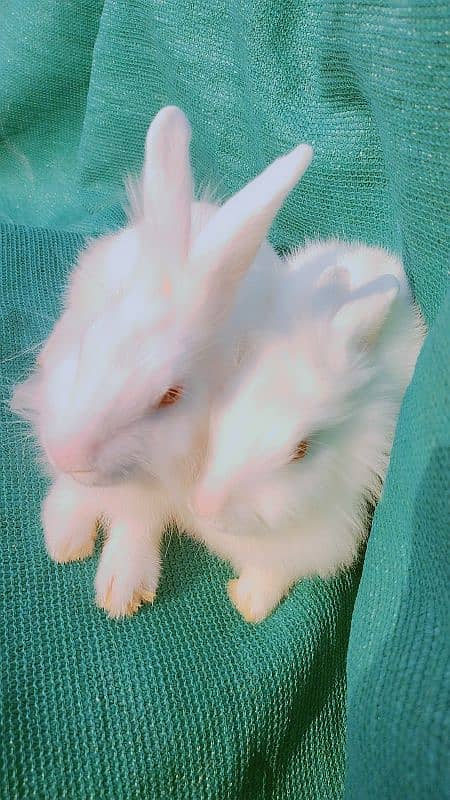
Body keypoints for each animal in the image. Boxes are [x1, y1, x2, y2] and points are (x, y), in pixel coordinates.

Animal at [10, 104, 312, 620]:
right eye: (89, 343)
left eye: (170, 396)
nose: (68, 452)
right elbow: (74, 492)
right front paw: (64, 537)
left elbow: (135, 525)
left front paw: (121, 589)